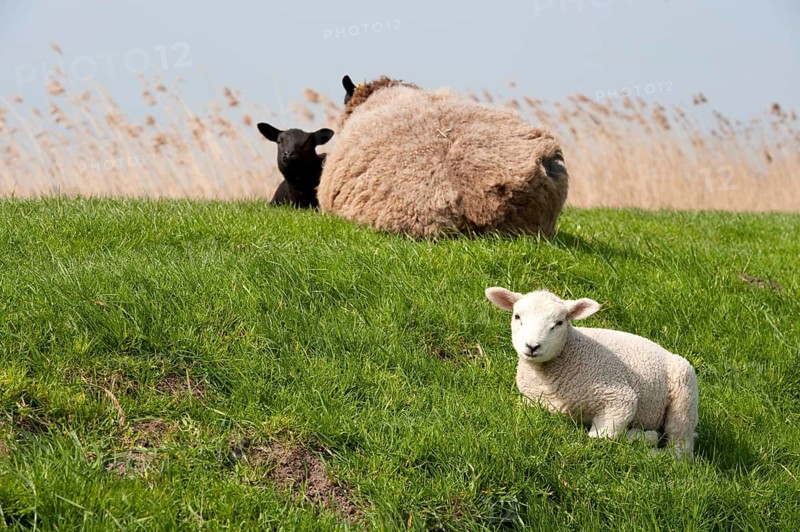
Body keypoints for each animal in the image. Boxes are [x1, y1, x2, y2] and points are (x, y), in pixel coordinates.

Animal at [485, 287, 699, 460]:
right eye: (517, 317)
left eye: (559, 323)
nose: (532, 346)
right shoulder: (531, 401)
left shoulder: (619, 398)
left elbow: (601, 440)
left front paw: (639, 437)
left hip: (684, 392)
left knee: (680, 448)